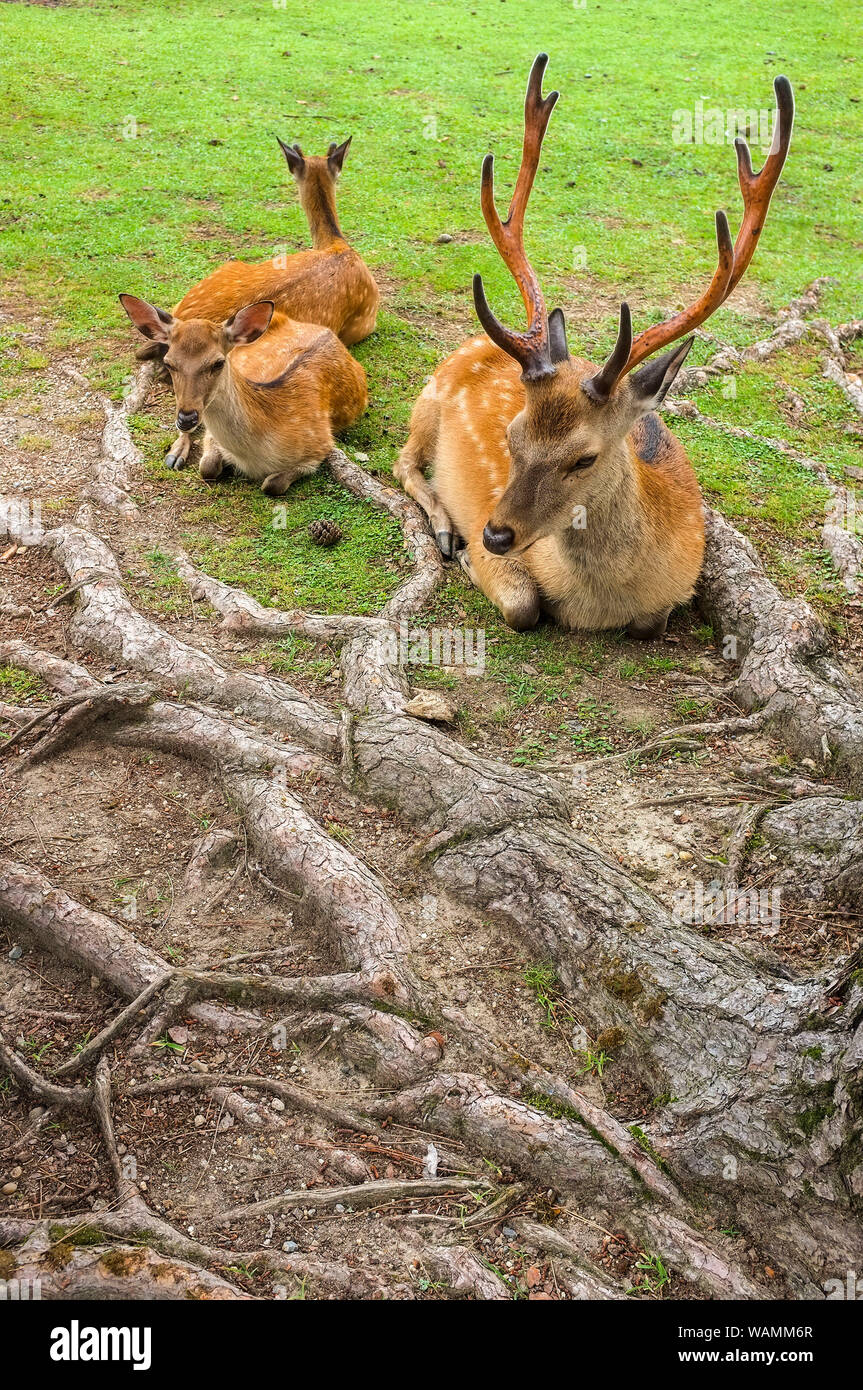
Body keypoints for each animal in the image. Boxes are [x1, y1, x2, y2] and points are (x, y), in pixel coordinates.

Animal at [118, 293, 366, 494]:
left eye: (217, 363)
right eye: (170, 363)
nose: (186, 417)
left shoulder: (320, 445)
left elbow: (272, 485)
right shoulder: (211, 436)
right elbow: (206, 467)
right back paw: (175, 455)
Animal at [394, 54, 789, 636]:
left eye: (584, 459)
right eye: (510, 437)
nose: (493, 534)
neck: (600, 605)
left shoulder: (671, 594)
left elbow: (652, 623)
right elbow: (523, 606)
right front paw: (466, 555)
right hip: (427, 402)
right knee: (402, 460)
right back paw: (445, 528)